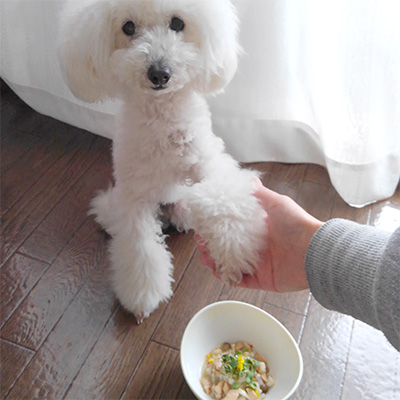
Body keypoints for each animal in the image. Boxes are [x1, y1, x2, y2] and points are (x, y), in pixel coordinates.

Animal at [59, 0, 268, 322]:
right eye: (128, 27)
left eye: (178, 23)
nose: (159, 73)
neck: (161, 119)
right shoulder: (134, 196)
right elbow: (141, 248)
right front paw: (141, 297)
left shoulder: (208, 163)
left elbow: (225, 199)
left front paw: (234, 254)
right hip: (118, 201)